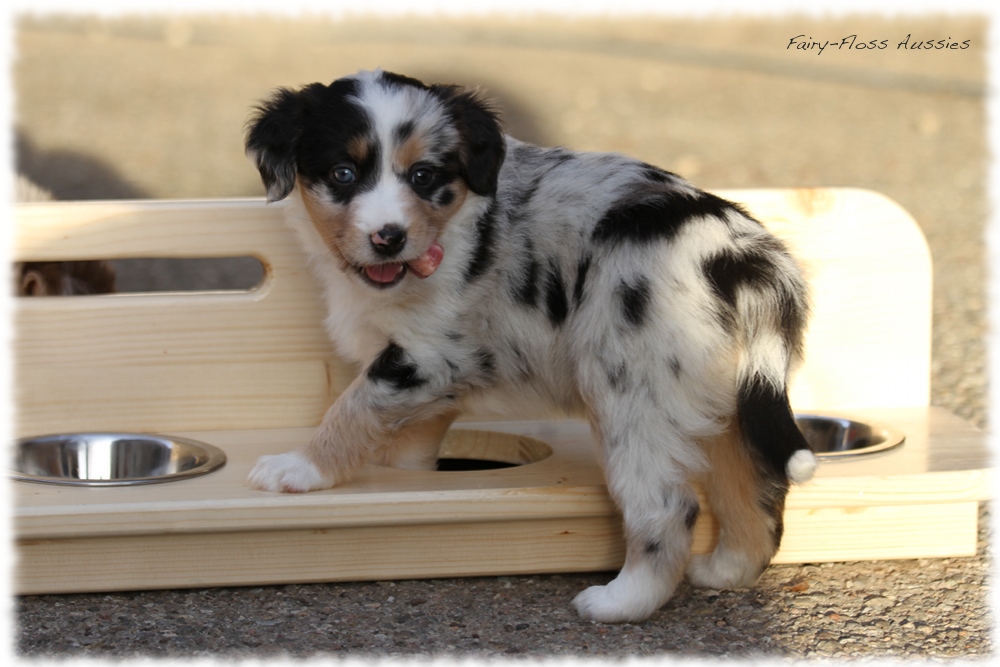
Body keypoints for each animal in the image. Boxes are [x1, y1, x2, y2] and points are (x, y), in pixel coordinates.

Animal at [246, 70, 816, 624]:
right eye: (343, 174)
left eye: (424, 176)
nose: (389, 237)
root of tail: (740, 257)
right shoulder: (439, 375)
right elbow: (409, 440)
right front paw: (402, 477)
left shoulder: (429, 358)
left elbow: (352, 406)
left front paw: (298, 468)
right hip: (726, 395)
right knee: (753, 485)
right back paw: (726, 570)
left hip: (632, 390)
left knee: (669, 505)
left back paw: (619, 603)